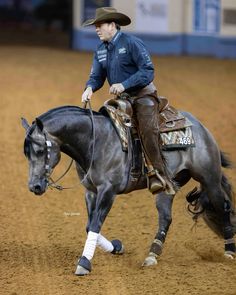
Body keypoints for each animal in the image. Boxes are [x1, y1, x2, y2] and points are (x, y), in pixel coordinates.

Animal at [21, 105, 235, 276]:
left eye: (40, 150)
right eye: (26, 154)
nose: (34, 186)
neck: (96, 141)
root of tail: (200, 127)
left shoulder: (108, 191)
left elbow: (96, 223)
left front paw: (84, 263)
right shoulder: (90, 191)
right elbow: (89, 225)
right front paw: (116, 247)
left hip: (209, 178)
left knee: (223, 206)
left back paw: (229, 252)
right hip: (168, 187)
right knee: (166, 218)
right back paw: (152, 255)